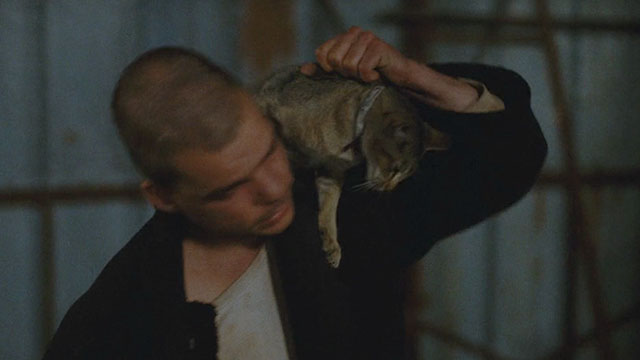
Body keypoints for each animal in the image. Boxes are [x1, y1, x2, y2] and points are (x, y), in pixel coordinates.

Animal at [255, 66, 450, 268]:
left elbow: (329, 209)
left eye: (404, 176)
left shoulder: (330, 171)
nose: (389, 188)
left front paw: (331, 245)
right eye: (394, 169)